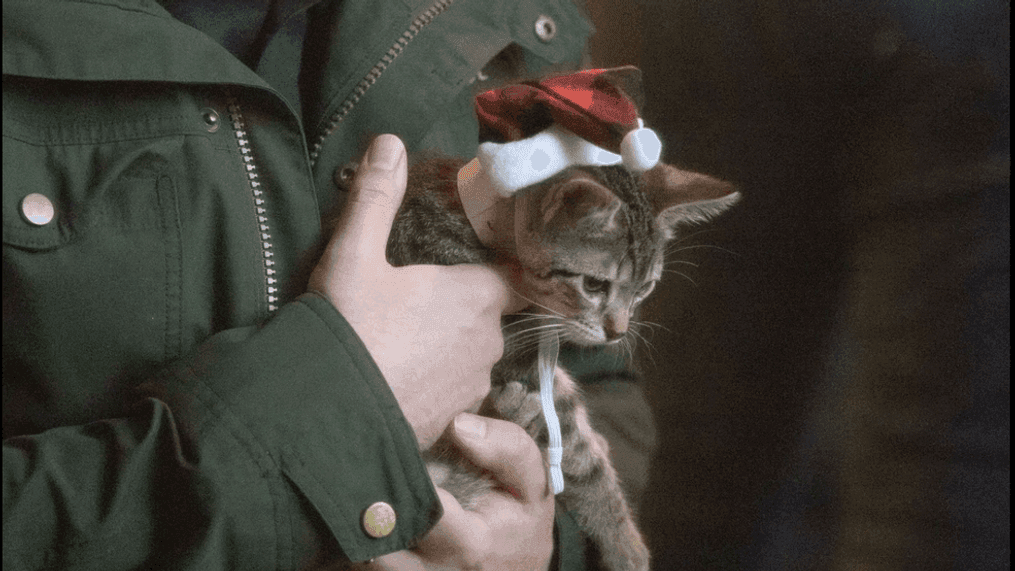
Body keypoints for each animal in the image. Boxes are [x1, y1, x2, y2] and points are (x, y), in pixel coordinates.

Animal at [381, 155, 738, 571]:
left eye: (645, 288)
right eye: (594, 285)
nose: (618, 332)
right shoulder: (511, 353)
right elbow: (582, 456)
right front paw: (625, 542)